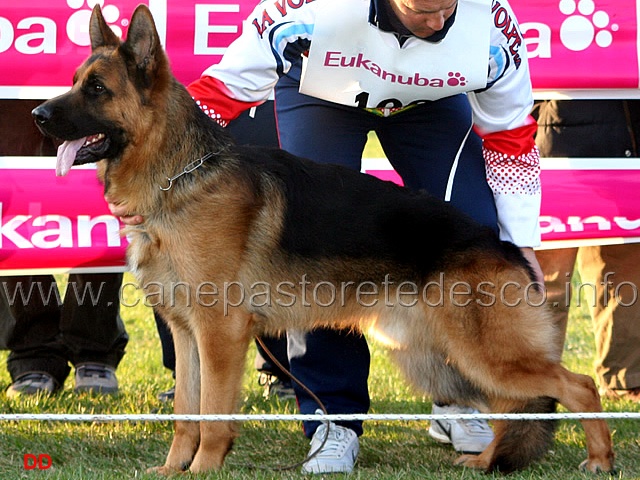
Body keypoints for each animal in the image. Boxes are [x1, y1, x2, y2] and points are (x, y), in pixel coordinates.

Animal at [31, 3, 616, 476]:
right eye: (75, 80)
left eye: (97, 89)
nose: (38, 115)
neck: (178, 175)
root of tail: (504, 246)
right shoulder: (185, 332)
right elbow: (185, 414)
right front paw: (176, 470)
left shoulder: (220, 333)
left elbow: (213, 415)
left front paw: (203, 470)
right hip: (445, 361)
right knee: (512, 408)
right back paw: (489, 458)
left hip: (483, 356)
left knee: (578, 386)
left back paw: (599, 458)